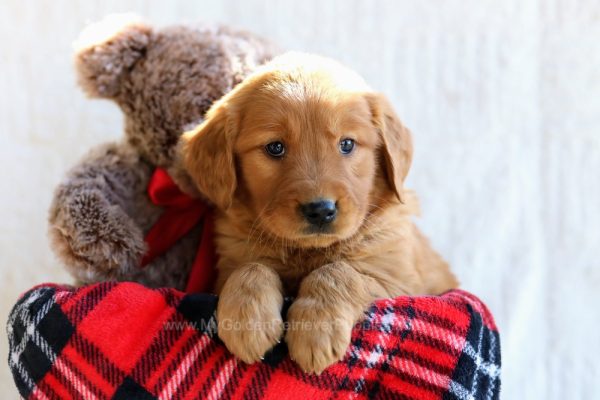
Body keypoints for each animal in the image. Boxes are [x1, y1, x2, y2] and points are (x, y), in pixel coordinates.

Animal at [178, 52, 460, 372]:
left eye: (347, 144)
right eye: (275, 147)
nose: (320, 210)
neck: (306, 251)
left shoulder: (398, 280)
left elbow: (338, 271)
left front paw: (316, 330)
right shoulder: (227, 265)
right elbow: (251, 268)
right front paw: (247, 322)